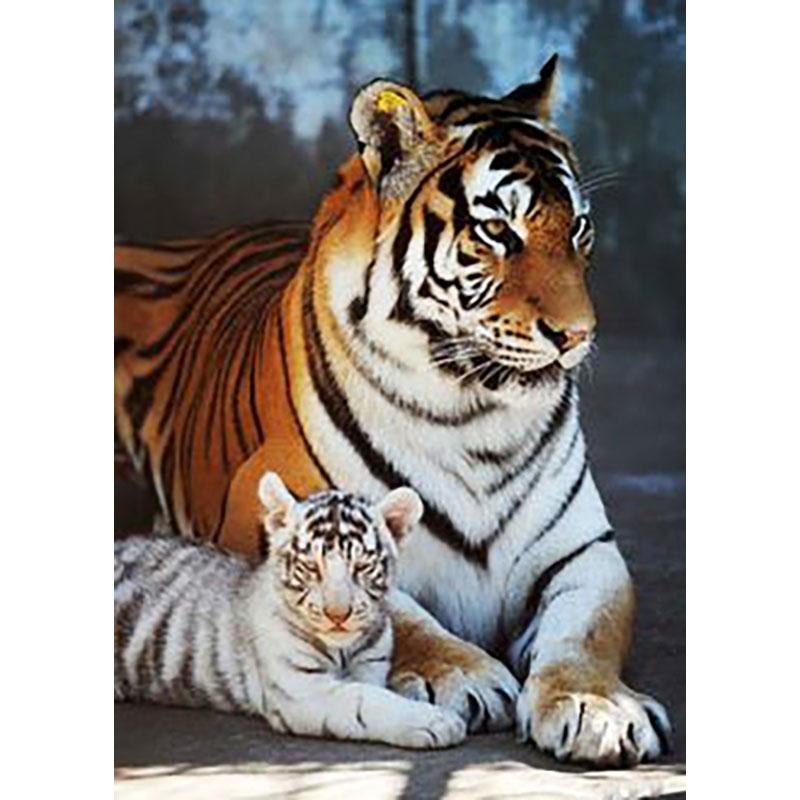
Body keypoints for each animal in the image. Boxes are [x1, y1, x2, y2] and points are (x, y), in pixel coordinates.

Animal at [115, 54, 672, 765]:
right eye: (498, 230)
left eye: (578, 227)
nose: (577, 335)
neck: (476, 417)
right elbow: (401, 614)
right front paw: (462, 674)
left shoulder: (581, 551)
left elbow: (589, 630)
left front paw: (596, 707)